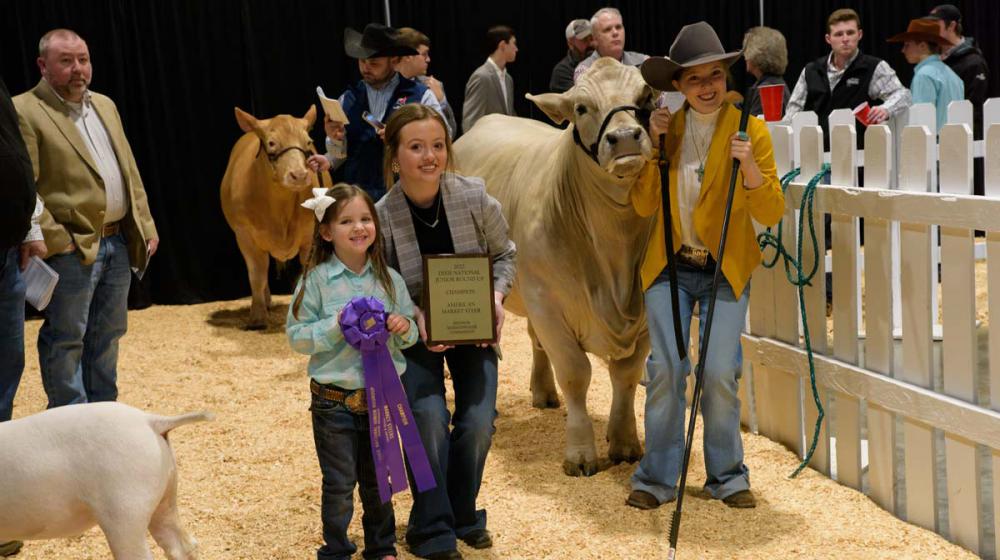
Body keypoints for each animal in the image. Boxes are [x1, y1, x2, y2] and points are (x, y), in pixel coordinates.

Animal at [221, 106, 330, 328]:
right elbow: (257, 273)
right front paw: (257, 316)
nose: (299, 175)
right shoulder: (244, 236)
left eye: (308, 142)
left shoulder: (310, 235)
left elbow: (308, 269)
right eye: (272, 143)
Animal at [454, 58, 656, 476]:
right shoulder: (546, 301)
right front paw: (580, 454)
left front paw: (625, 441)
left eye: (646, 96)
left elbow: (626, 375)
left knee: (535, 341)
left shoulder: (647, 309)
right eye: (581, 108)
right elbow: (576, 374)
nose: (626, 137)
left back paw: (543, 391)